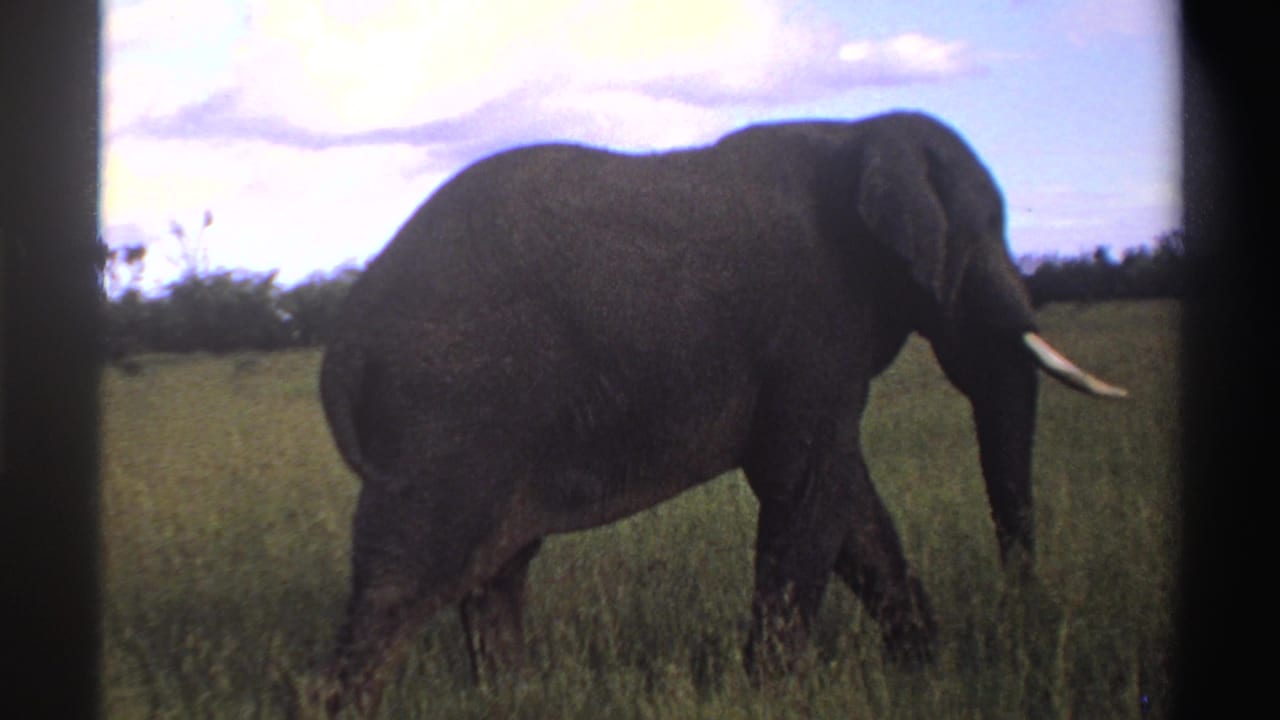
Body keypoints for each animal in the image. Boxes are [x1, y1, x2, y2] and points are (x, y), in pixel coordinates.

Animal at [306, 110, 1125, 717]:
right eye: (985, 231)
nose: (1022, 602)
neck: (858, 133)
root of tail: (344, 339)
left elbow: (850, 502)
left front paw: (925, 671)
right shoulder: (815, 320)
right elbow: (809, 486)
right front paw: (774, 698)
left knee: (496, 572)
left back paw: (514, 700)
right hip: (446, 413)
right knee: (404, 584)